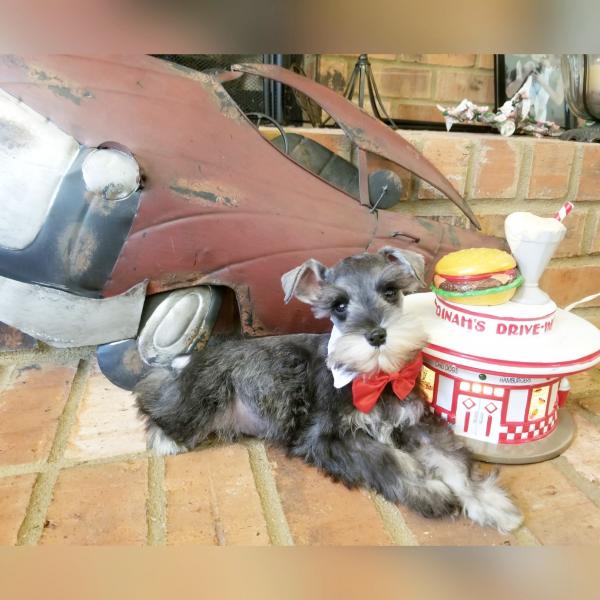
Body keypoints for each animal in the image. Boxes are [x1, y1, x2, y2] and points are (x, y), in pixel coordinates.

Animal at [135, 246, 520, 532]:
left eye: (390, 292)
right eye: (339, 305)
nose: (377, 335)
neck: (373, 378)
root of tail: (190, 359)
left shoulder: (418, 424)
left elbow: (454, 463)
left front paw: (488, 503)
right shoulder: (328, 437)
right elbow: (389, 459)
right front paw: (430, 492)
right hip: (202, 399)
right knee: (156, 405)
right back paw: (166, 439)